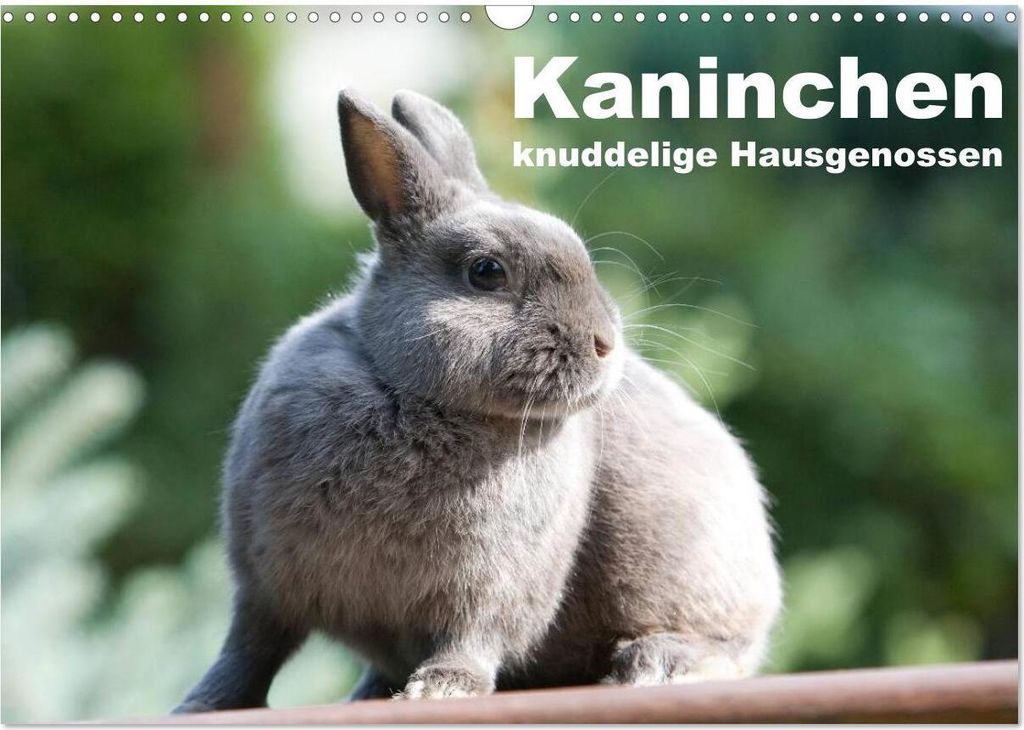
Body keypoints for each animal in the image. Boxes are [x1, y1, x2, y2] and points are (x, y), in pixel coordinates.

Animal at [174, 89, 781, 713]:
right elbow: (248, 652)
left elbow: (472, 636)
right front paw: (200, 705)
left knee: (725, 652)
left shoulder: (492, 586)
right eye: (486, 272)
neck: (413, 394)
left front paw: (440, 688)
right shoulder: (263, 584)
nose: (605, 343)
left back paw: (656, 665)